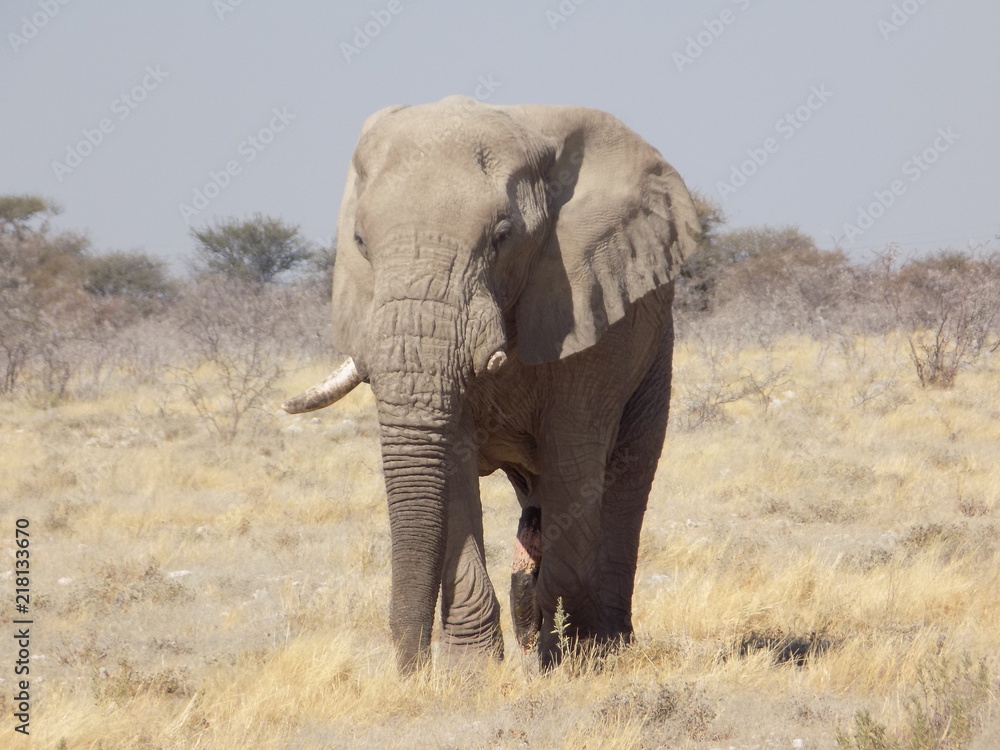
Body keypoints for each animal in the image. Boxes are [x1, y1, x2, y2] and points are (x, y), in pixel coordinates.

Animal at [284, 97, 704, 672]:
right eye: (360, 243)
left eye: (502, 238)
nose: (411, 672)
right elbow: (454, 470)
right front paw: (472, 673)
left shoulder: (587, 306)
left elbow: (574, 461)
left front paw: (562, 656)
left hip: (655, 345)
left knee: (623, 479)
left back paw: (604, 645)